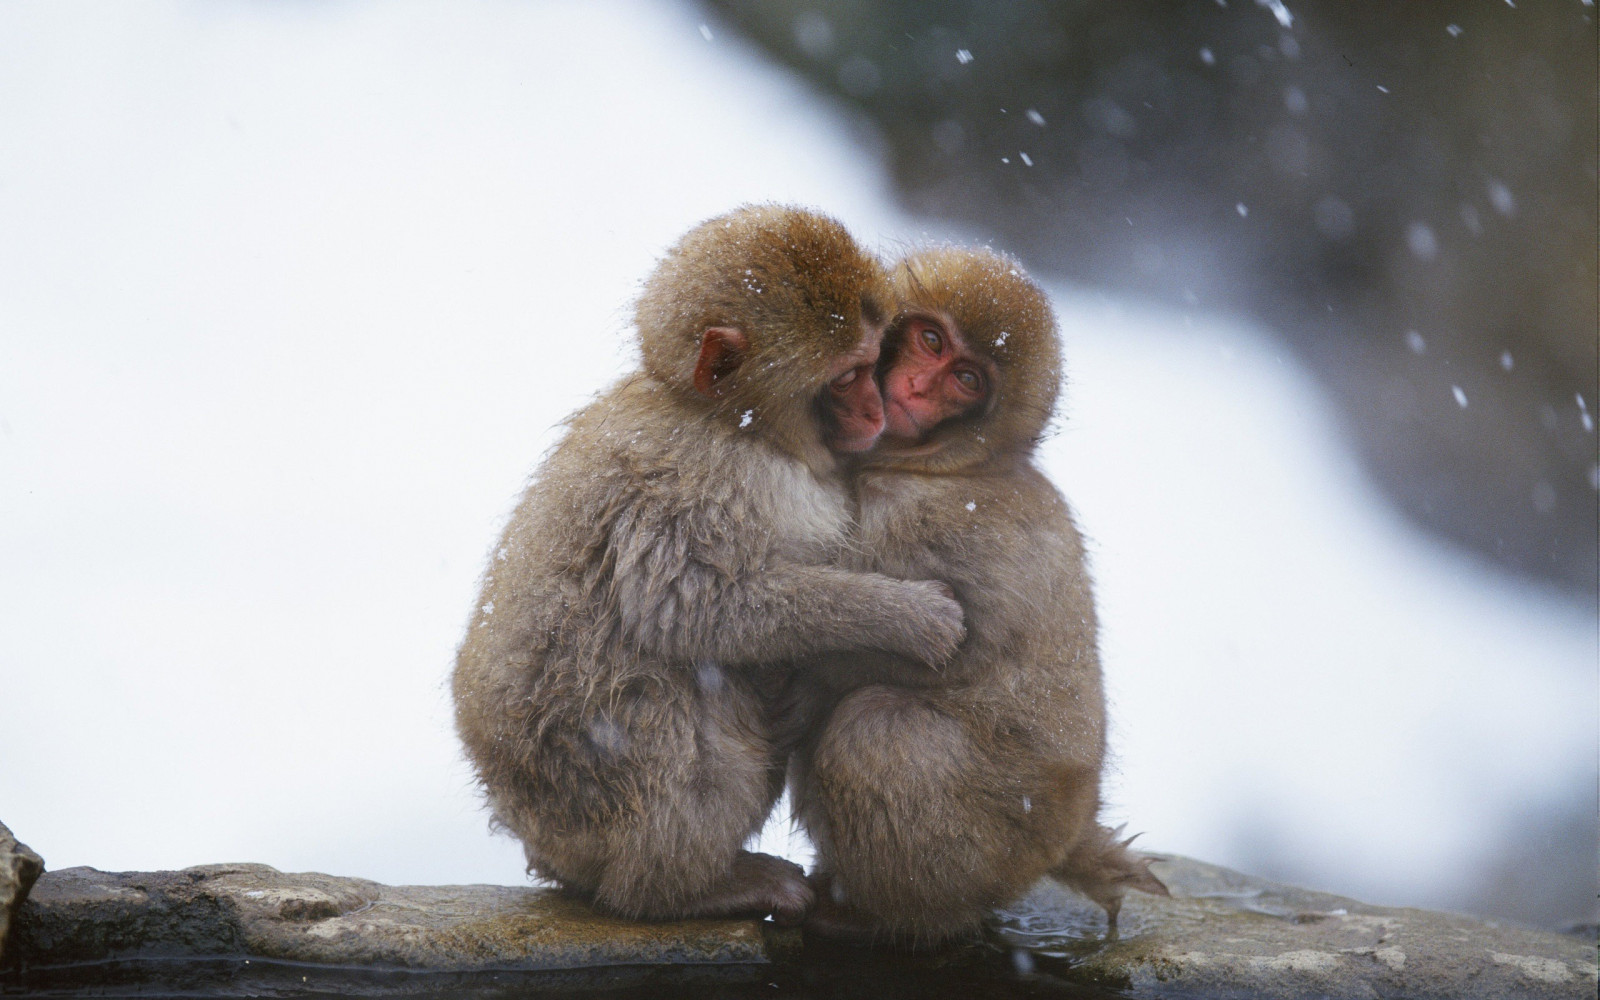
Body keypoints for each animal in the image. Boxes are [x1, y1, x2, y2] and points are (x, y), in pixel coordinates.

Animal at [451, 205, 970, 926]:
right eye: (847, 377)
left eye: (876, 363)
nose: (876, 410)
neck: (732, 425)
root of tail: (535, 834)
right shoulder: (695, 480)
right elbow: (690, 607)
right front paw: (908, 617)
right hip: (591, 793)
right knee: (671, 694)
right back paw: (681, 889)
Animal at [791, 245, 1167, 947]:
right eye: (931, 341)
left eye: (965, 378)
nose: (915, 389)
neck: (946, 464)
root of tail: (1069, 833)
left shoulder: (924, 519)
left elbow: (931, 645)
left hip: (999, 833)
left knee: (876, 733)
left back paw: (879, 917)